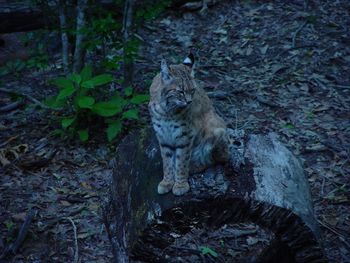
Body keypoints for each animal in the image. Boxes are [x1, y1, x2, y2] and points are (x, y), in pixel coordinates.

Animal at [148, 54, 228, 197]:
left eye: (192, 90)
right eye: (180, 91)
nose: (189, 102)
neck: (166, 109)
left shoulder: (185, 136)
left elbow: (182, 161)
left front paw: (180, 184)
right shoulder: (162, 136)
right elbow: (167, 161)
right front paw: (167, 182)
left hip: (217, 127)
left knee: (216, 159)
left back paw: (194, 167)